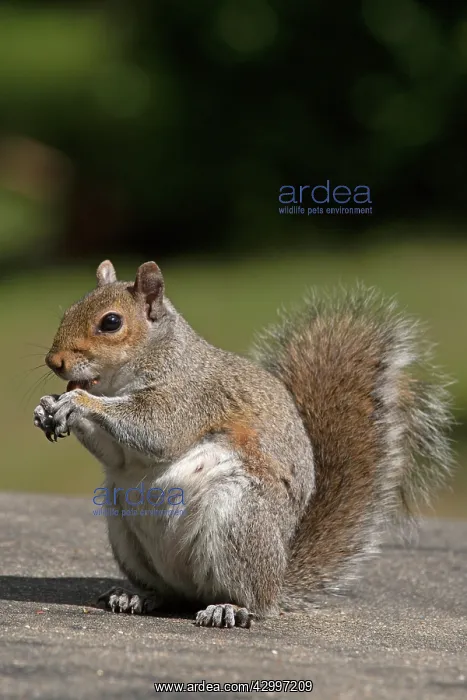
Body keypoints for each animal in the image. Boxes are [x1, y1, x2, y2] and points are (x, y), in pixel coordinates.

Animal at [33, 260, 454, 628]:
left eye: (111, 322)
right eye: (70, 309)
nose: (54, 362)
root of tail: (278, 580)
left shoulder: (192, 397)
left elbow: (157, 430)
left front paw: (76, 402)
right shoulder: (123, 450)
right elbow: (116, 455)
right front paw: (47, 408)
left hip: (238, 519)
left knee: (253, 602)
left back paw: (230, 609)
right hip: (124, 532)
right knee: (172, 592)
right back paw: (137, 596)